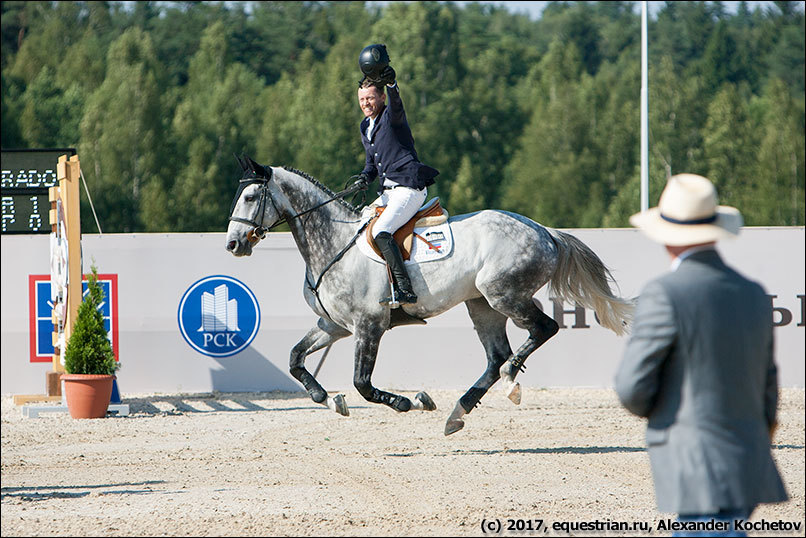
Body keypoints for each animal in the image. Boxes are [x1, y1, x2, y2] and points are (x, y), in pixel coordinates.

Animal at [225, 156, 634, 435]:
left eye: (250, 196)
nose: (233, 244)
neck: (333, 244)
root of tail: (545, 231)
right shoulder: (334, 325)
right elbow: (295, 359)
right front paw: (329, 400)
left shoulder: (368, 325)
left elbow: (363, 384)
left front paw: (411, 401)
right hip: (481, 305)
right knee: (495, 356)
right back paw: (458, 412)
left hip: (503, 294)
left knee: (542, 330)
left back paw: (510, 380)